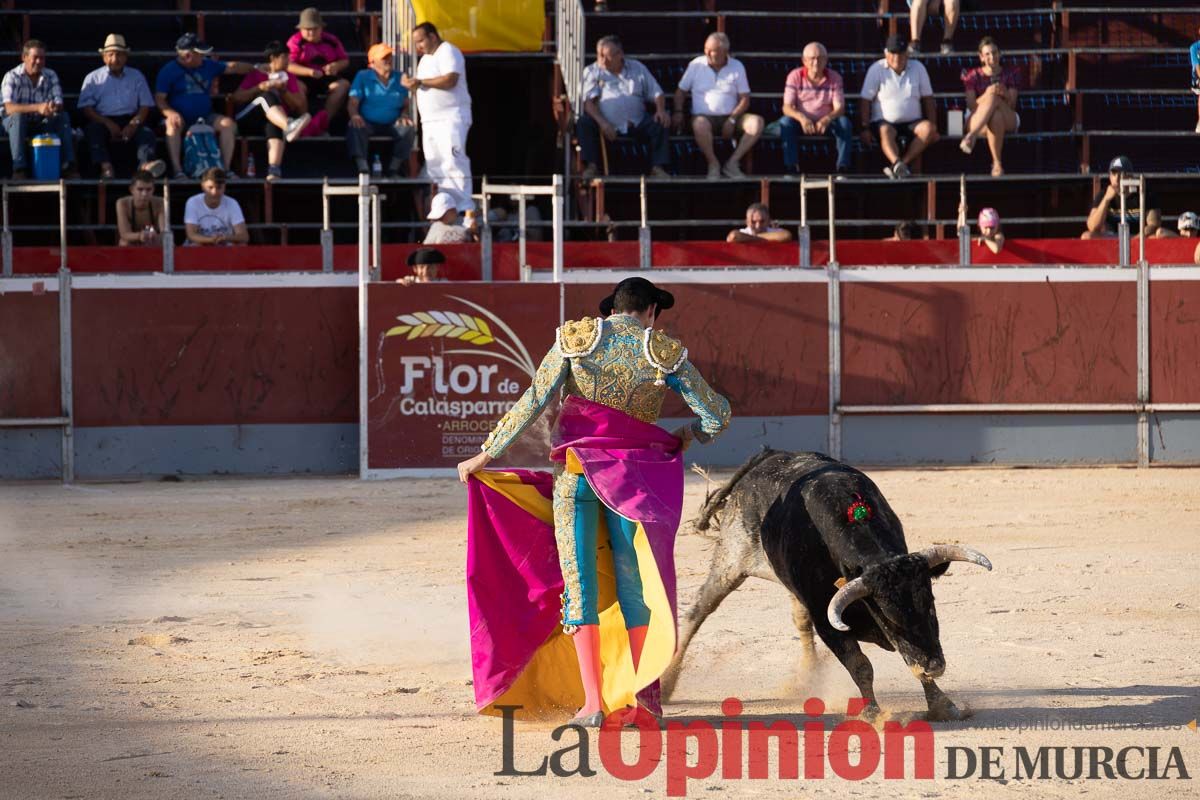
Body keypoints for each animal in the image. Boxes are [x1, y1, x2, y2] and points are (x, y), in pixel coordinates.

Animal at [662, 450, 988, 719]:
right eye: (888, 617)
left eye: (930, 606)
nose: (937, 666)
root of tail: (769, 456)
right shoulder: (828, 622)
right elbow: (861, 665)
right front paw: (873, 713)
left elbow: (912, 662)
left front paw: (944, 706)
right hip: (731, 558)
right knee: (699, 610)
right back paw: (665, 684)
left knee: (799, 620)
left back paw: (806, 675)